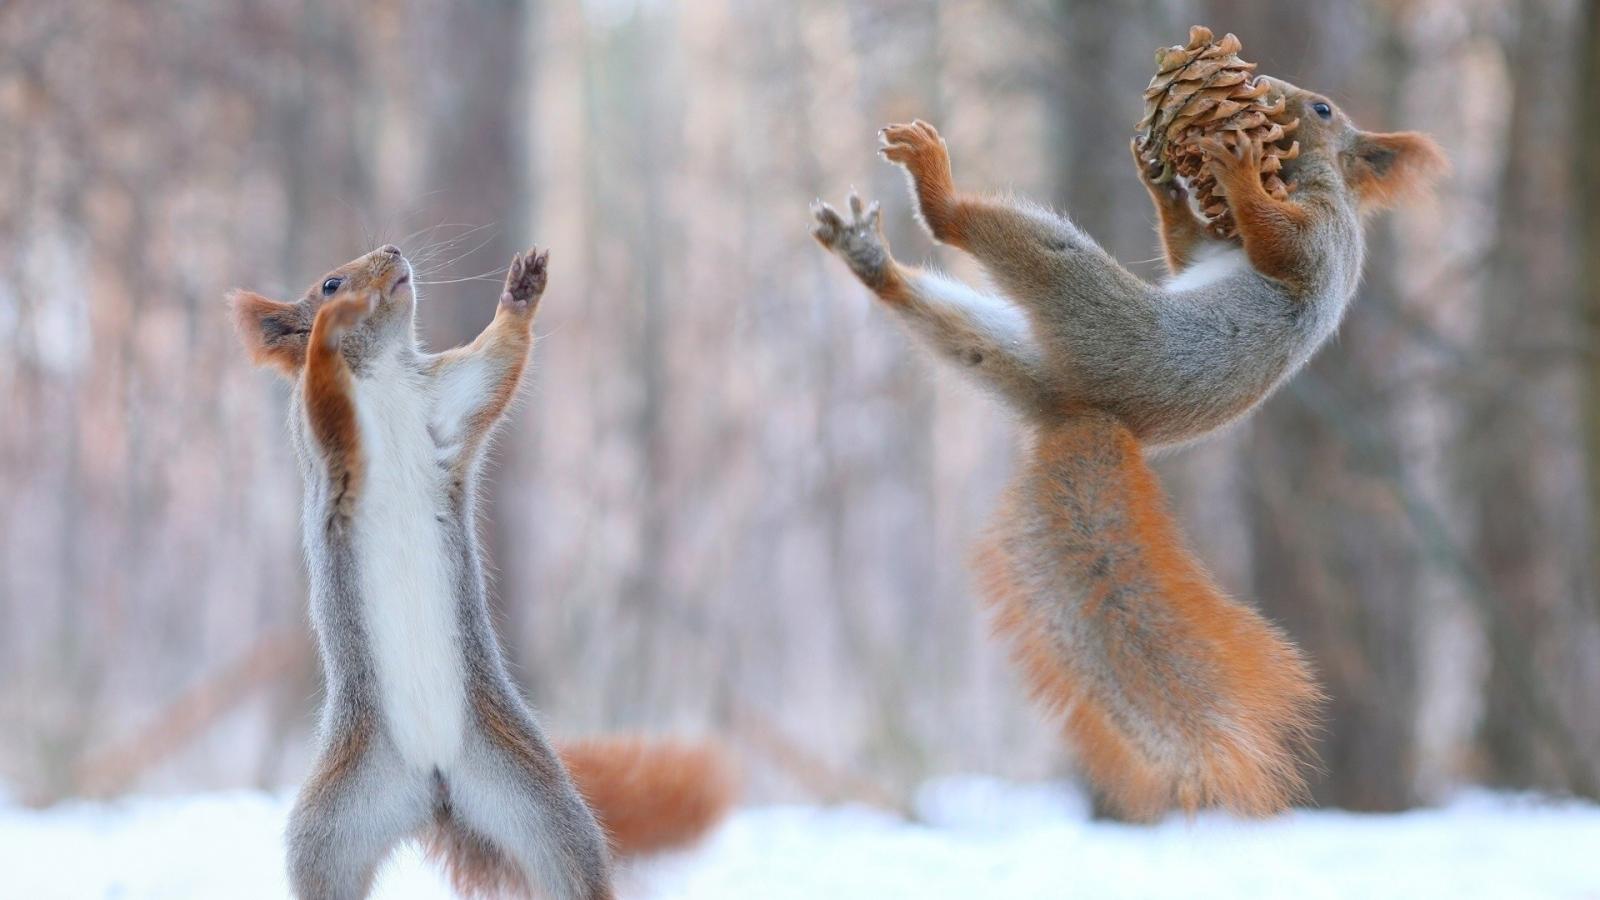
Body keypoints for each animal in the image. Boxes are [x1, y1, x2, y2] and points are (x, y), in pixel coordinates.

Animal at [231, 245, 734, 899]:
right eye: (330, 283)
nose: (393, 252)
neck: (381, 373)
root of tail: (435, 783)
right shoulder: (325, 440)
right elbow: (323, 393)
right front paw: (328, 330)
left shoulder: (447, 400)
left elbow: (494, 366)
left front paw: (521, 292)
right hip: (332, 828)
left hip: (532, 795)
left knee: (569, 862)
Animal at [811, 79, 1445, 818]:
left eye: (1321, 111)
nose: (1269, 92)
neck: (1305, 178)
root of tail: (1086, 412)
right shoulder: (1211, 250)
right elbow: (1186, 251)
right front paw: (1164, 183)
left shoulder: (1321, 238)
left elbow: (1279, 245)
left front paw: (1233, 169)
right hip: (1006, 351)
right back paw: (870, 259)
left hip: (1087, 300)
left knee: (975, 232)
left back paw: (934, 186)